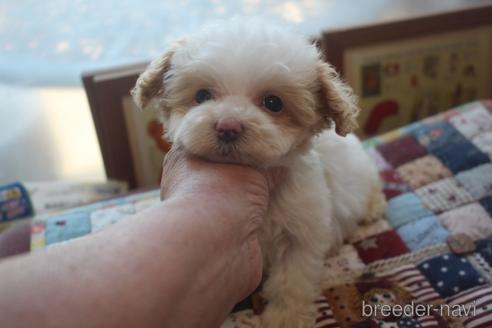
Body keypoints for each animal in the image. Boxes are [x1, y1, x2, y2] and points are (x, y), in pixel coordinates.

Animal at [133, 18, 386, 328]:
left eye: (273, 103)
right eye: (202, 96)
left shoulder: (301, 232)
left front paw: (286, 317)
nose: (228, 127)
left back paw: (373, 207)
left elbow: (292, 279)